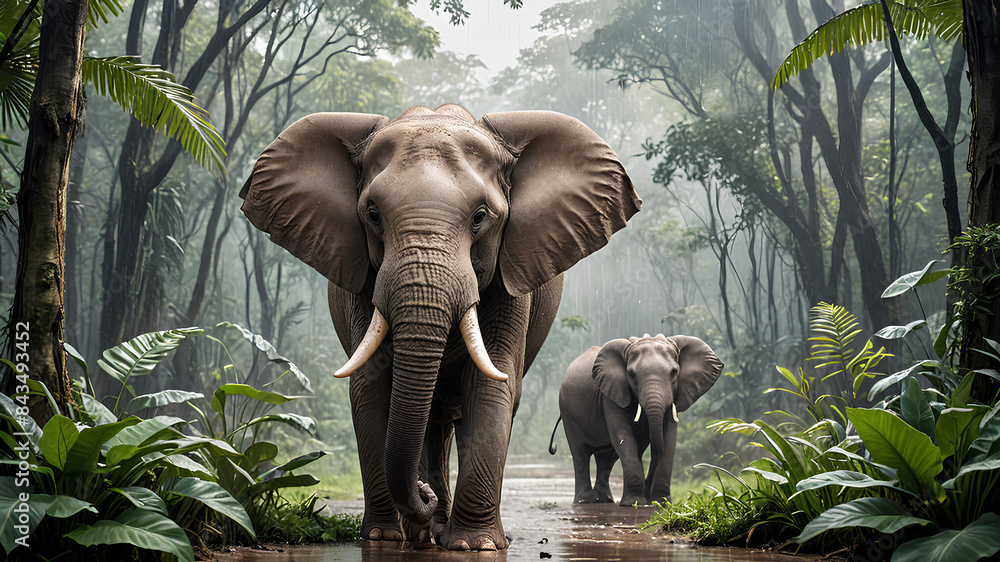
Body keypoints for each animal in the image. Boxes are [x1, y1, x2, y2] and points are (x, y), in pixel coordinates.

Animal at [239, 104, 641, 550]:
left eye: (481, 217)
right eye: (373, 215)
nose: (423, 495)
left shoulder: (509, 278)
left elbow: (491, 385)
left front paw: (474, 544)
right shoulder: (362, 282)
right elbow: (371, 385)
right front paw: (383, 537)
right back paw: (422, 532)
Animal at [550, 334, 722, 506]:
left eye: (674, 372)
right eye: (632, 374)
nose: (648, 492)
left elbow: (668, 439)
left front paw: (661, 503)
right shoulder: (610, 394)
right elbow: (624, 437)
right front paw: (635, 503)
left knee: (607, 457)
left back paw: (605, 500)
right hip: (566, 409)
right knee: (579, 452)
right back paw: (586, 501)